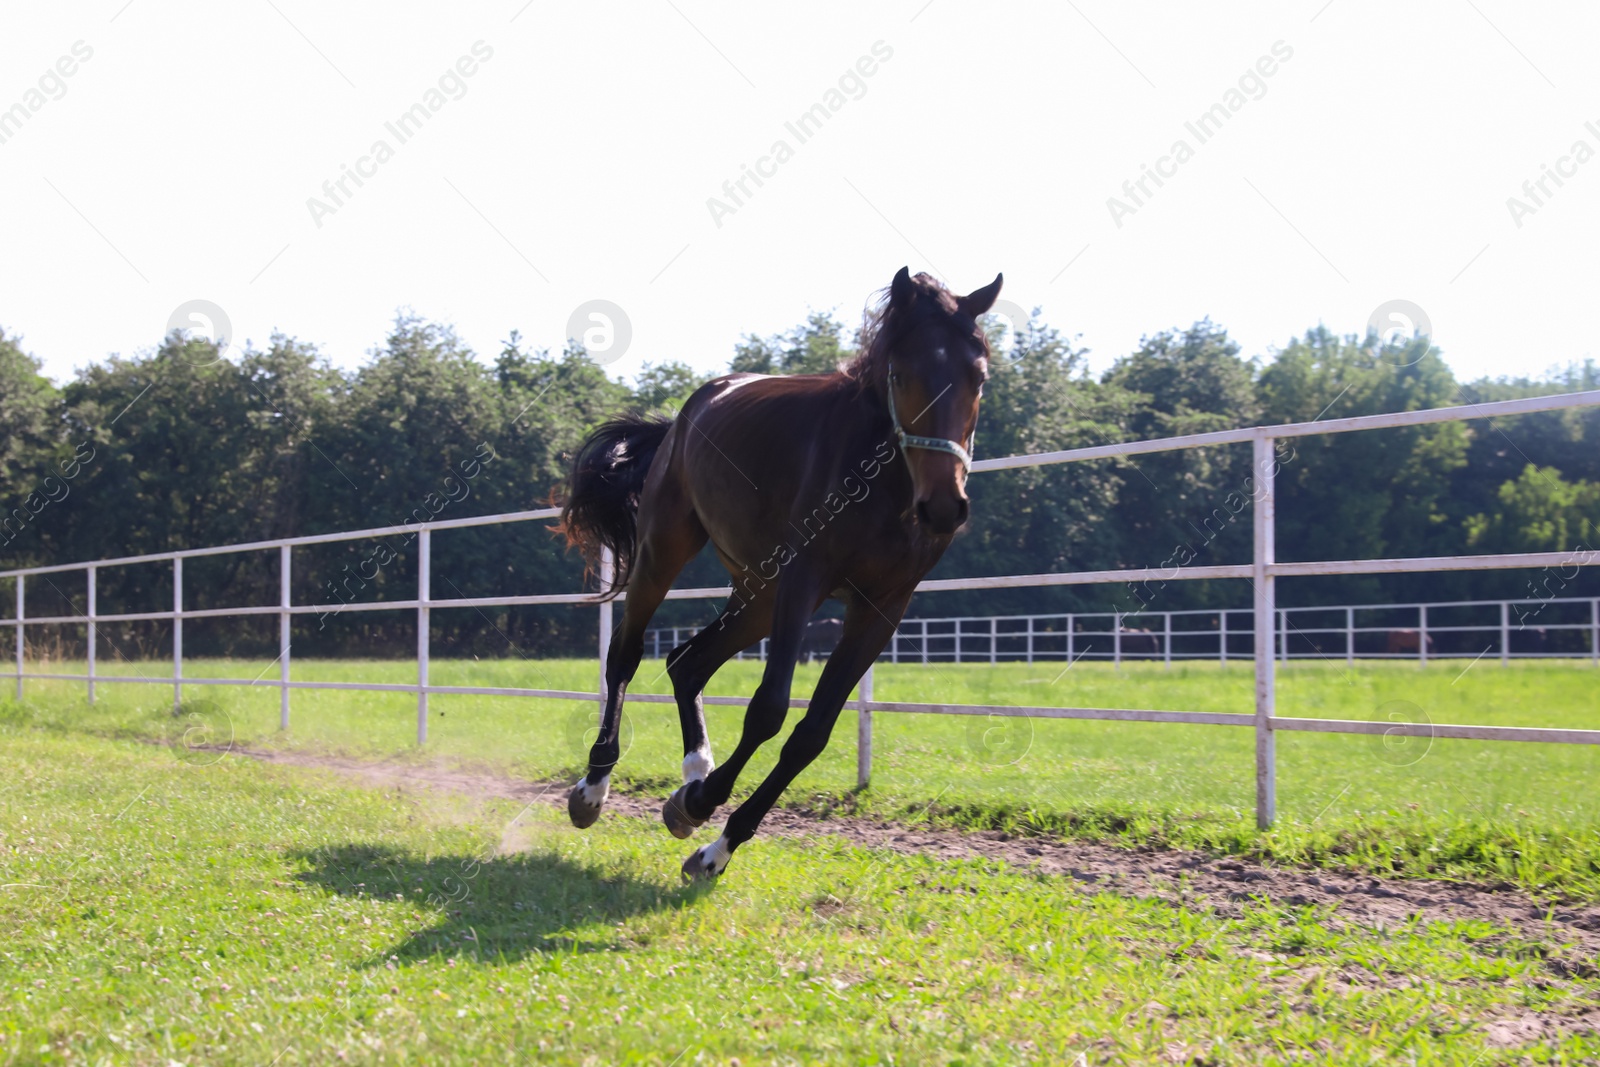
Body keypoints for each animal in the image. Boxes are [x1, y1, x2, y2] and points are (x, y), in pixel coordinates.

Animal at [556, 271, 992, 883]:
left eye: (978, 376)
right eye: (902, 374)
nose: (945, 507)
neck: (883, 485)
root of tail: (683, 416)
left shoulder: (882, 607)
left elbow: (811, 733)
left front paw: (713, 843)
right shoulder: (804, 580)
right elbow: (768, 710)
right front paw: (702, 805)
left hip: (759, 592)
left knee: (687, 661)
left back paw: (694, 770)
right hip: (668, 550)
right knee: (627, 653)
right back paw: (595, 788)